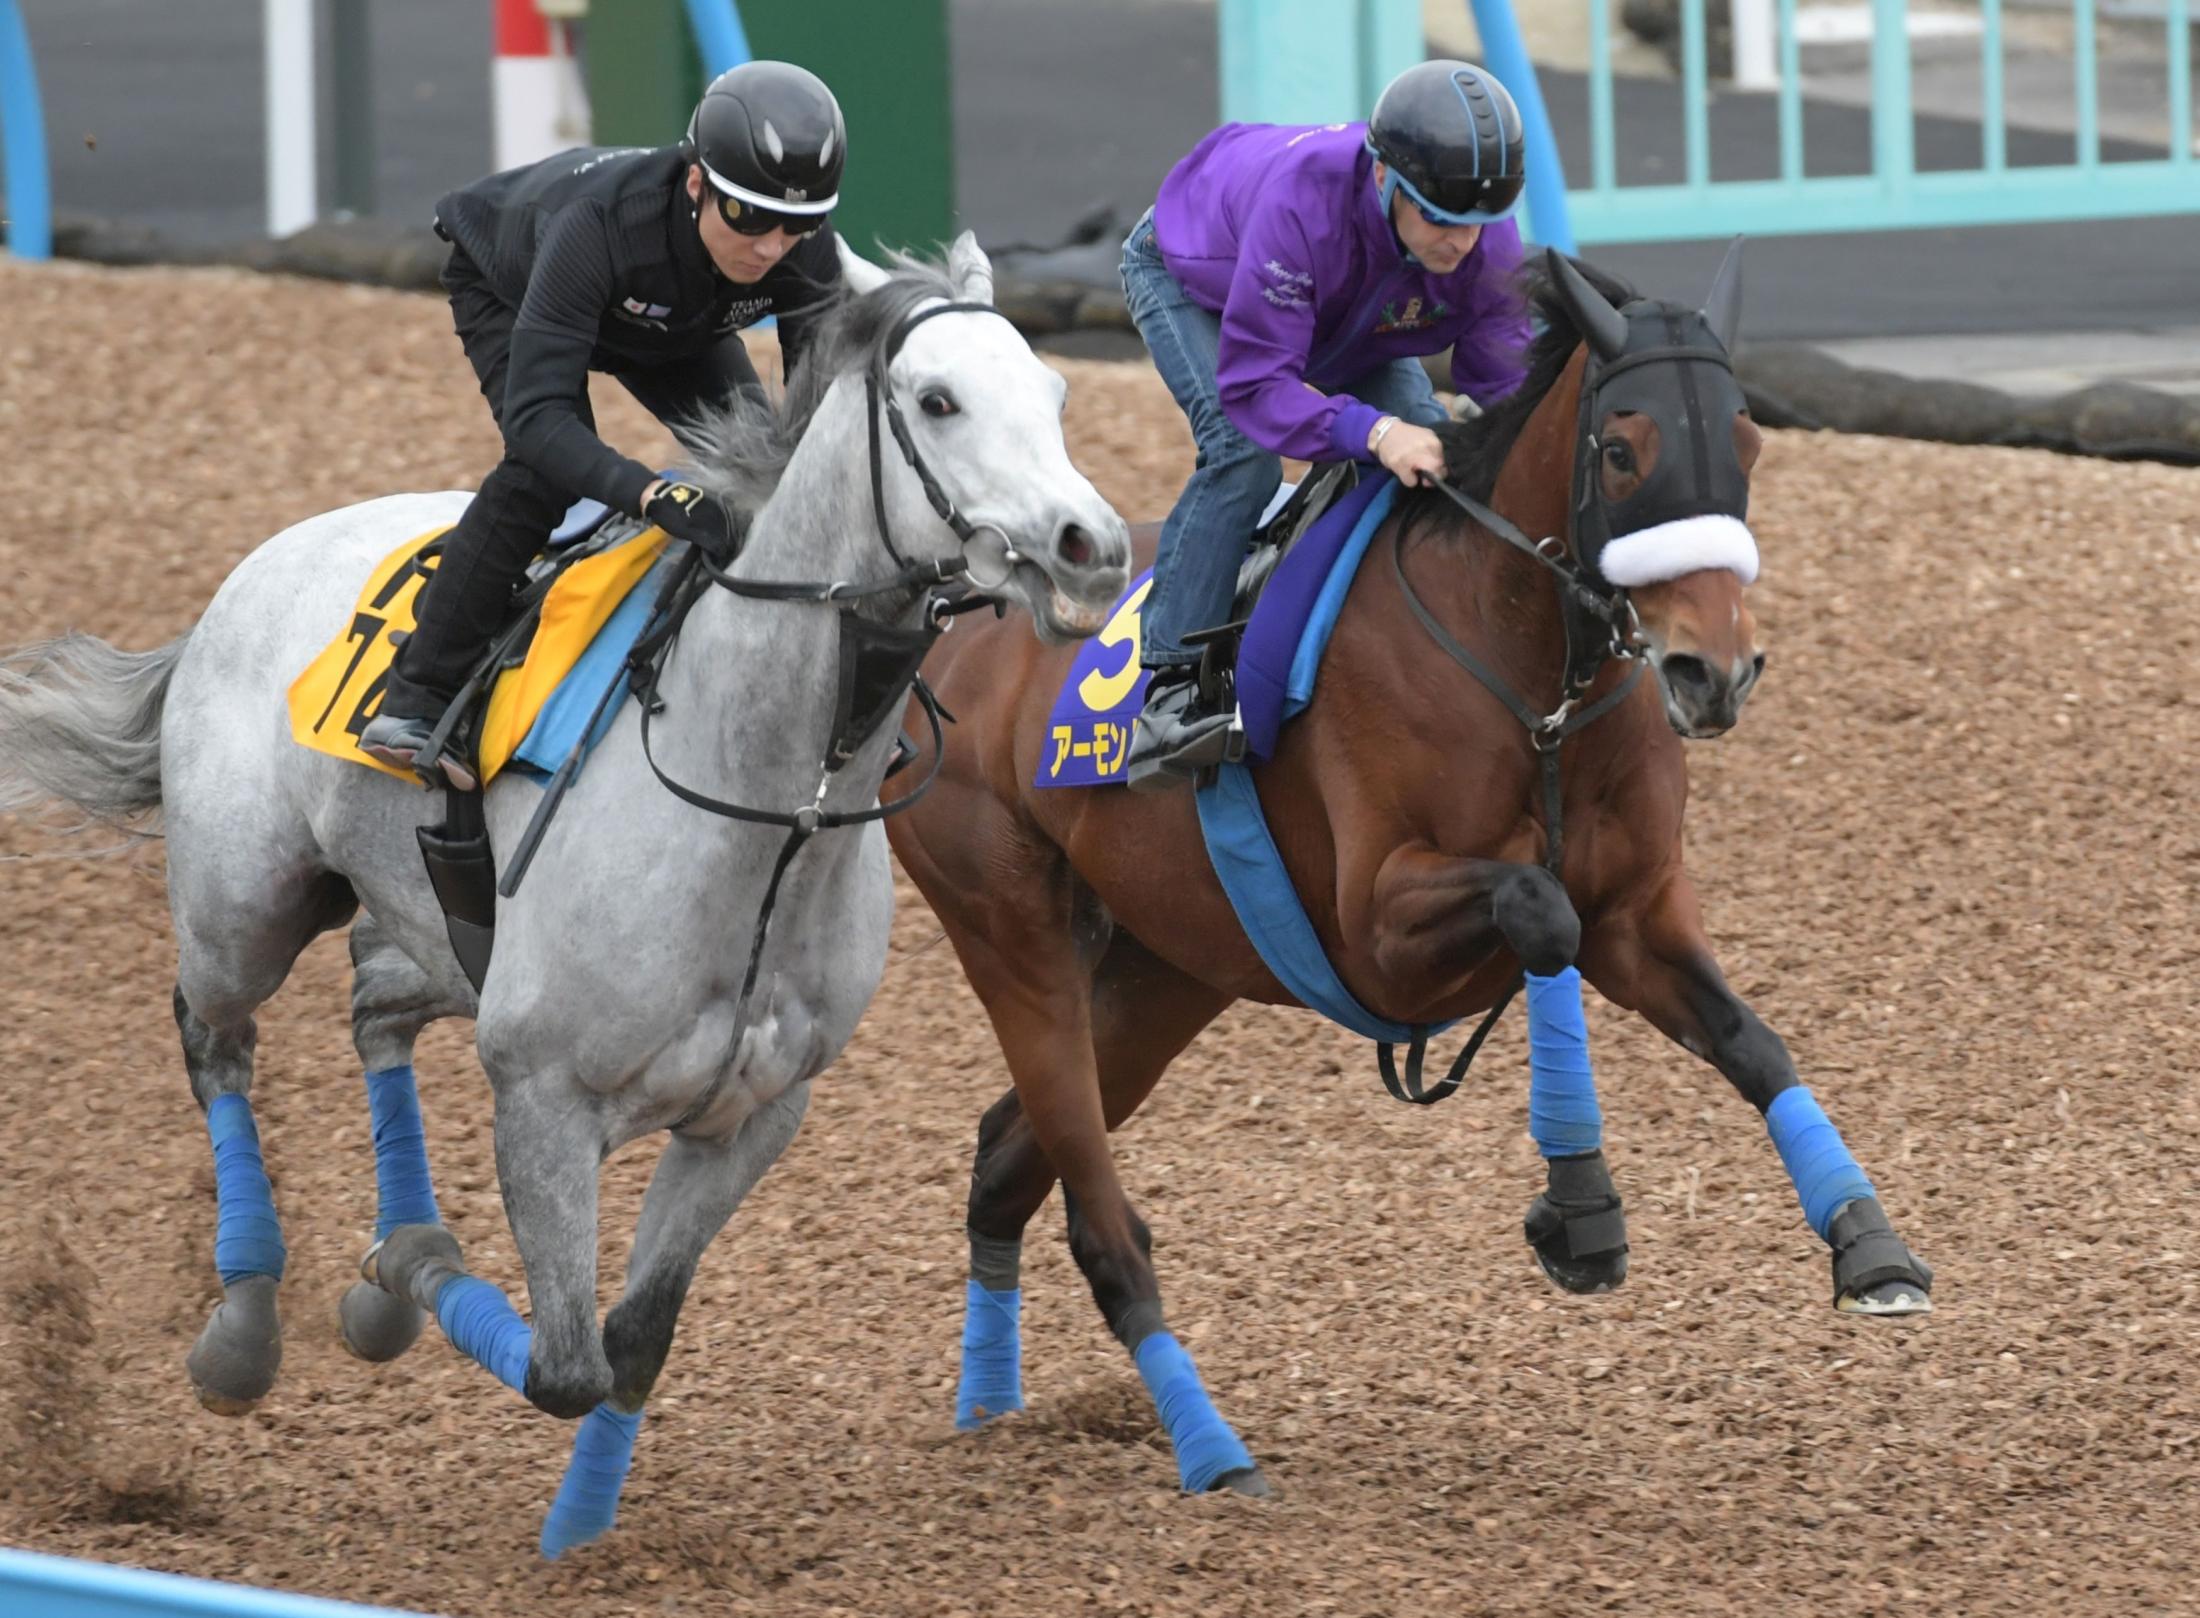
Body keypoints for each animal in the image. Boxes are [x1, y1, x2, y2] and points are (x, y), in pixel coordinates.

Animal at [0, 239, 1135, 1558]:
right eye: (938, 401)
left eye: (1053, 392)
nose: (1090, 547)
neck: (756, 810)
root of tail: (255, 565)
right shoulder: (543, 1095)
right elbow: (563, 1364)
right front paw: (406, 1287)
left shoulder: (753, 1112)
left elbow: (630, 1344)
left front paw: (575, 1528)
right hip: (247, 909)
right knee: (215, 1036)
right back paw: (244, 1326)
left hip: (441, 938)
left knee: (376, 1001)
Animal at [884, 246, 1936, 1496]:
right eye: (1620, 448)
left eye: (1748, 439)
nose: (1710, 670)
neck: (1528, 673)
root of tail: (957, 629)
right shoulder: (1376, 926)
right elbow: (1539, 913)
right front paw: (1582, 1212)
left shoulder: (1637, 913)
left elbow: (1750, 1039)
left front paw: (1870, 1244)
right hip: (1011, 928)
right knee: (1087, 1198)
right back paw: (1198, 1446)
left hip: (1163, 971)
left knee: (1007, 1151)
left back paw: (990, 1413)